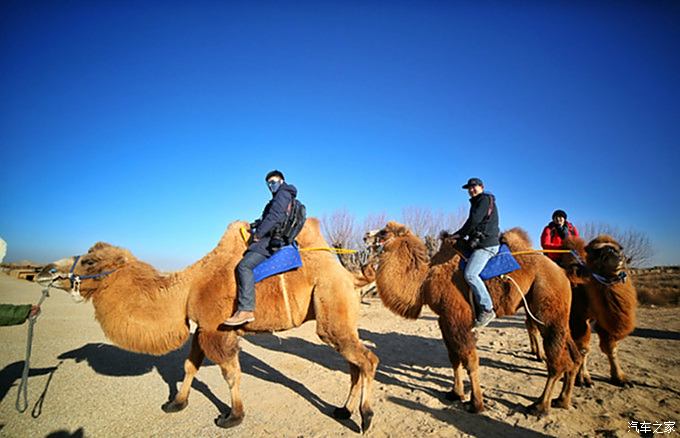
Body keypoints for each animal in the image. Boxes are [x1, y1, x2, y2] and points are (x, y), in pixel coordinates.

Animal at [37, 219, 380, 432]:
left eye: (90, 262)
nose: (45, 270)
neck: (188, 287)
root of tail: (350, 276)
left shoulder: (217, 330)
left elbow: (231, 374)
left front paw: (233, 416)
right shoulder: (201, 329)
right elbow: (189, 366)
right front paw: (176, 403)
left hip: (330, 306)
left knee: (367, 359)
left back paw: (365, 417)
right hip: (340, 317)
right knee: (354, 363)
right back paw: (343, 410)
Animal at [364, 222, 580, 414]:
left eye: (384, 232)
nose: (366, 235)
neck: (424, 280)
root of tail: (562, 273)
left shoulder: (458, 317)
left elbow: (470, 360)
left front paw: (476, 404)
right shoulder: (444, 319)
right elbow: (454, 358)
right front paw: (455, 393)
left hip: (547, 308)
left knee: (556, 362)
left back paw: (540, 406)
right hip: (557, 315)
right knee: (573, 355)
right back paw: (562, 400)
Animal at [524, 236, 636, 386]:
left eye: (619, 248)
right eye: (597, 251)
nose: (617, 255)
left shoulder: (599, 319)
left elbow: (610, 347)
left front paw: (621, 378)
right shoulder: (577, 317)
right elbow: (583, 348)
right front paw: (582, 378)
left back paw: (534, 351)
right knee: (532, 327)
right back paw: (539, 355)